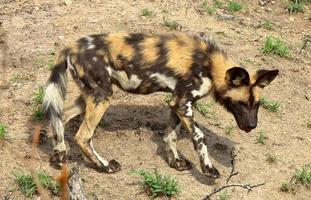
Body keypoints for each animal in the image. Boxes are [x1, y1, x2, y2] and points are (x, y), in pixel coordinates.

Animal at [42, 32, 280, 178]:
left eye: (257, 104)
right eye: (241, 103)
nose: (252, 126)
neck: (210, 64)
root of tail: (71, 47)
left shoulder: (177, 103)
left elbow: (170, 135)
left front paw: (175, 162)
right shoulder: (183, 103)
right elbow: (200, 137)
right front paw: (208, 168)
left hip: (91, 96)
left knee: (60, 118)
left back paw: (59, 157)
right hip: (102, 97)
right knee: (83, 136)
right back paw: (105, 166)